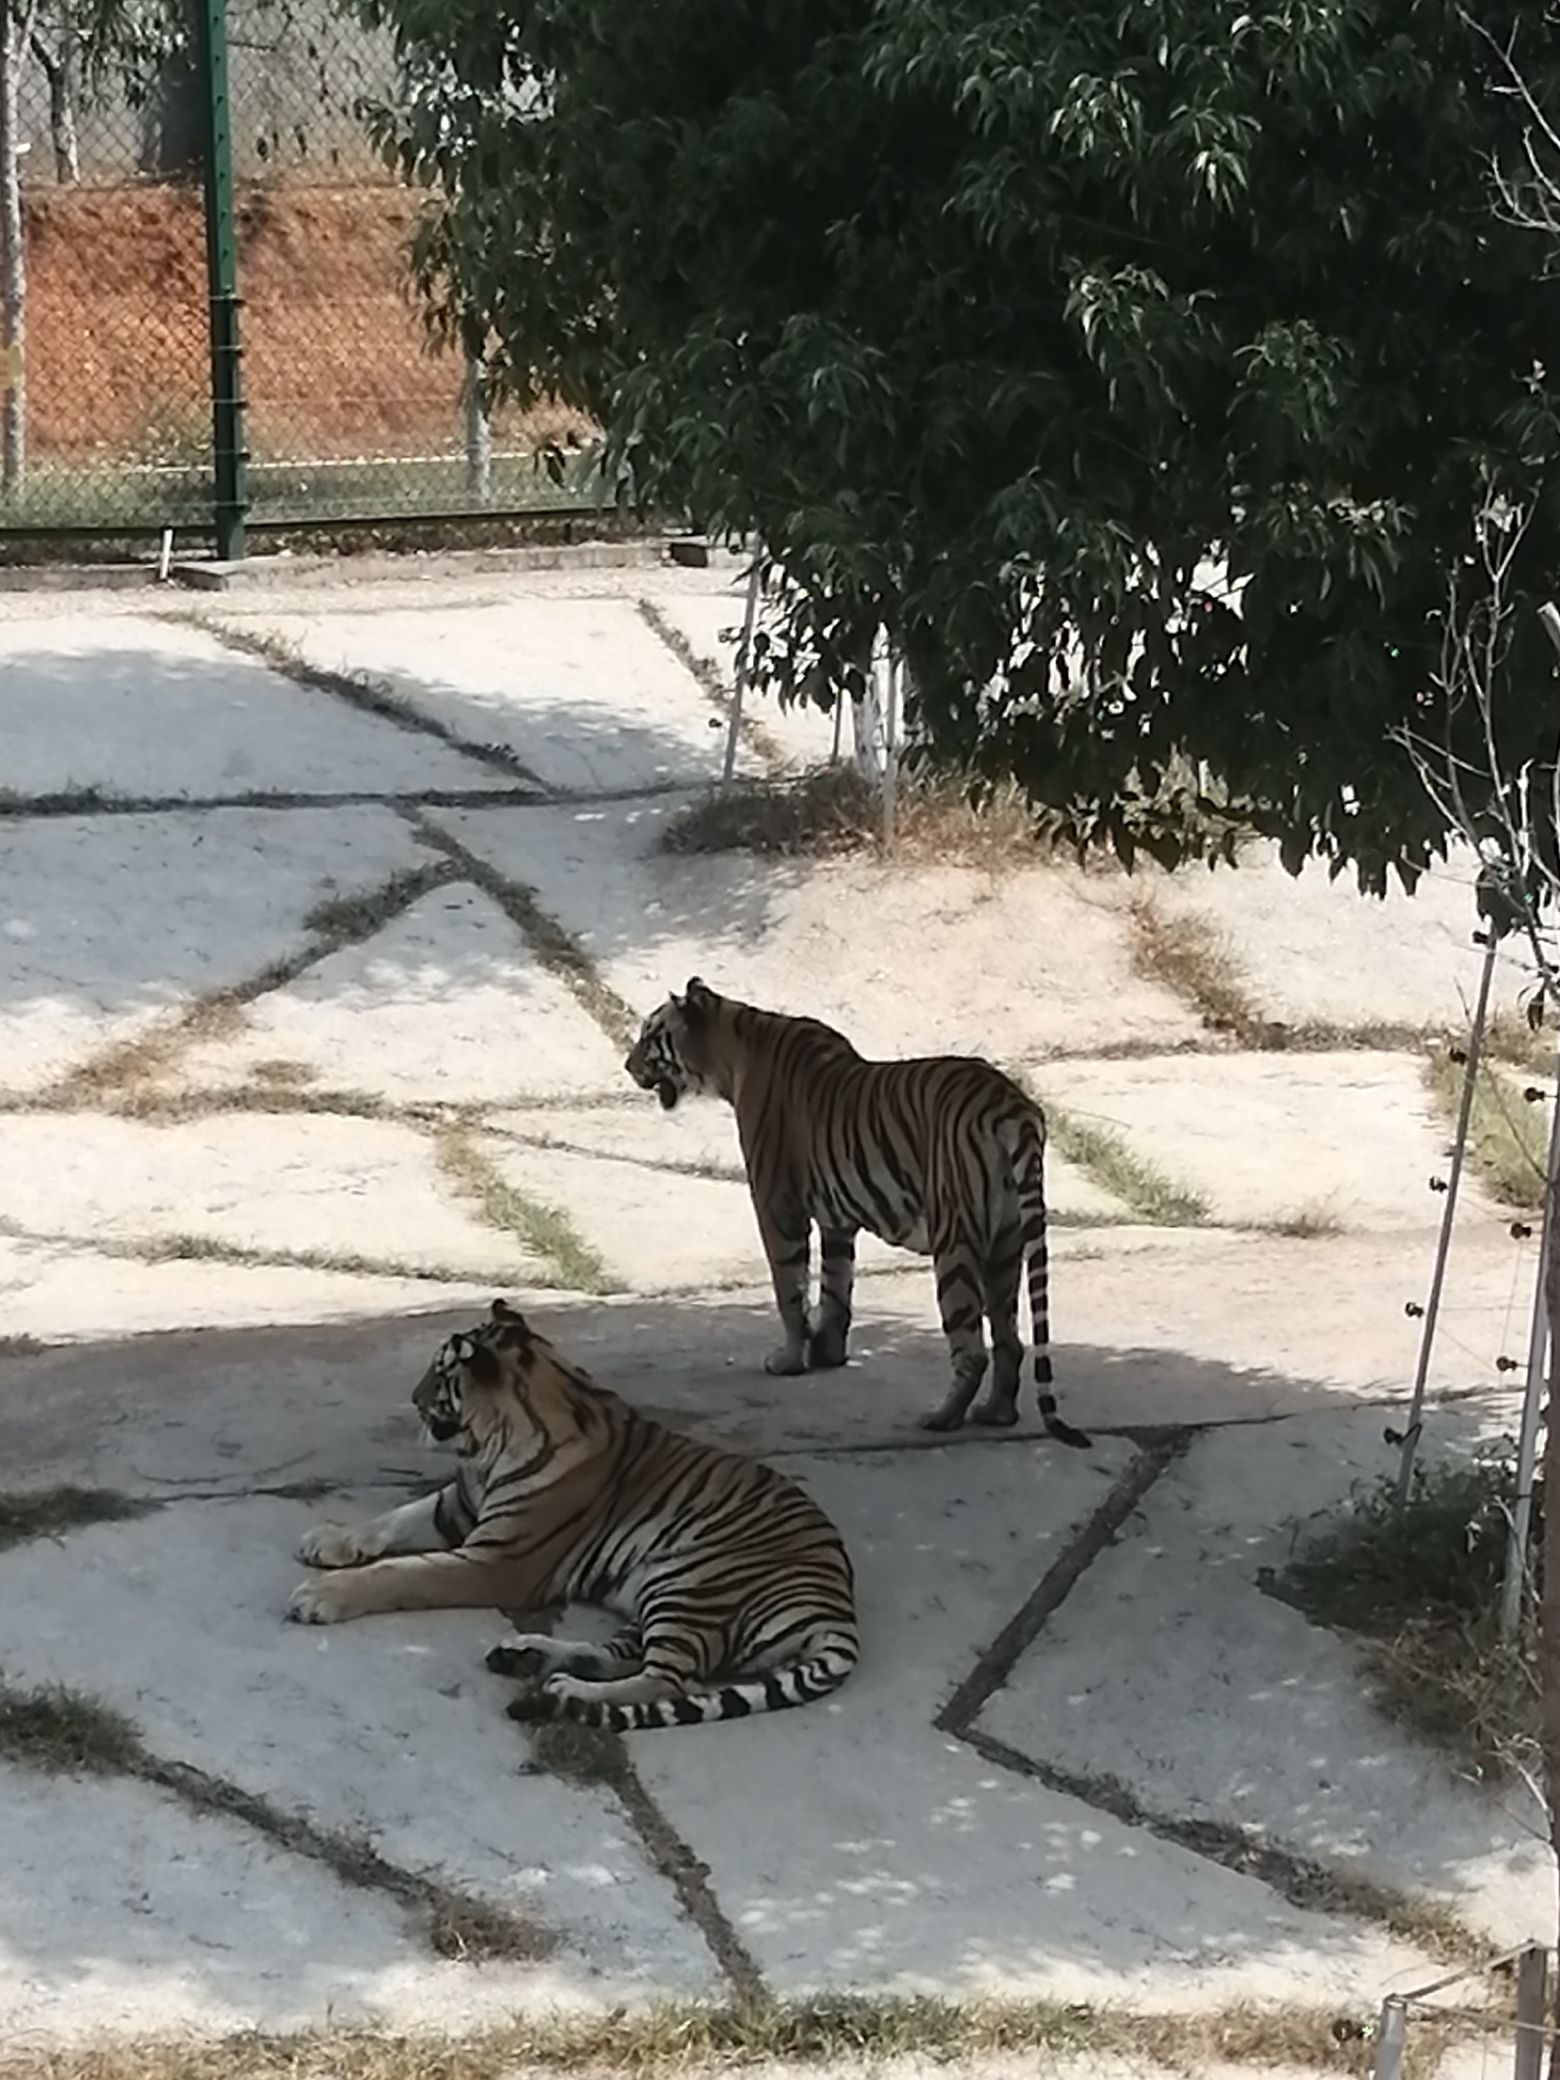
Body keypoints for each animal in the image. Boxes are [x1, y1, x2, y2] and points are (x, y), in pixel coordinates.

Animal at [286, 1298, 860, 1732]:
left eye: (440, 1373)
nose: (412, 1397)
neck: (489, 1448)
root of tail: (839, 1610)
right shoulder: (459, 1507)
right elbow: (393, 1519)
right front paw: (327, 1539)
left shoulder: (498, 1562)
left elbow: (399, 1574)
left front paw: (320, 1596)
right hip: (653, 1593)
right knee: (625, 1654)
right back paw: (528, 1657)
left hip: (693, 1583)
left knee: (669, 1680)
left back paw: (568, 1690)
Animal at [624, 977, 1088, 1447]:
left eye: (650, 1036)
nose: (627, 1066)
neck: (730, 1047)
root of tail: (1011, 1105)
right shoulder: (837, 1220)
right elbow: (836, 1288)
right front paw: (827, 1352)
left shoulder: (776, 1204)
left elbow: (789, 1288)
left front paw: (788, 1360)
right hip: (1006, 1243)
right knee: (1010, 1341)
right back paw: (995, 1413)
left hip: (955, 1242)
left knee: (973, 1350)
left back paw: (941, 1417)